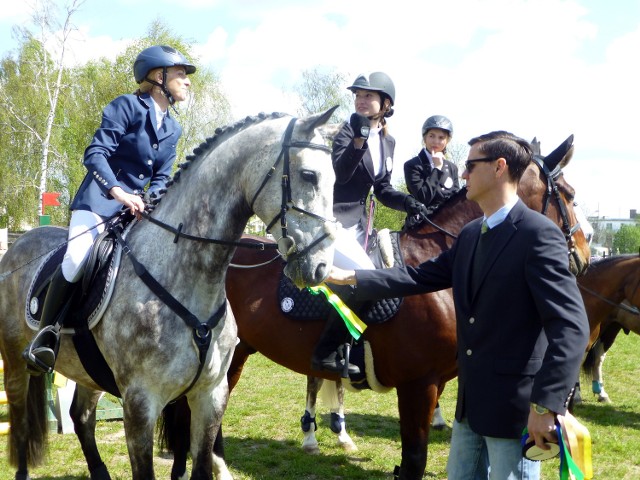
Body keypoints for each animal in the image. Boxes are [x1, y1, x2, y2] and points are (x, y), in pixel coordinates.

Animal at [0, 108, 340, 480]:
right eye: (308, 175)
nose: (321, 266)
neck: (190, 280)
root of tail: (19, 245)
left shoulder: (210, 395)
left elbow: (202, 463)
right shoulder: (140, 402)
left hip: (86, 370)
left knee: (82, 418)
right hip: (15, 360)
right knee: (20, 418)